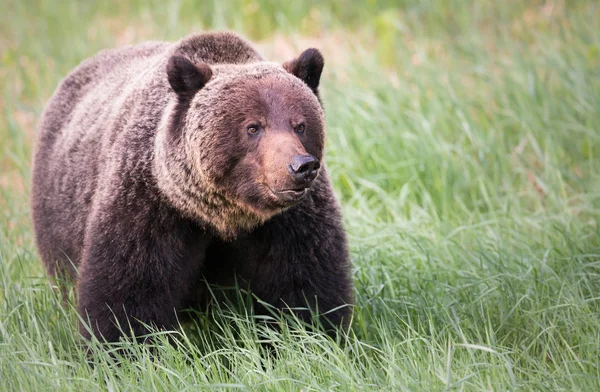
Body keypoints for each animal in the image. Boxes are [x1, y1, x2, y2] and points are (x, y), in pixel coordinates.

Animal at [30, 32, 352, 342]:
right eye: (253, 127)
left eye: (300, 125)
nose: (301, 166)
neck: (221, 216)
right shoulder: (148, 205)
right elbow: (127, 292)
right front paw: (124, 348)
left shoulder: (289, 223)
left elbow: (305, 284)